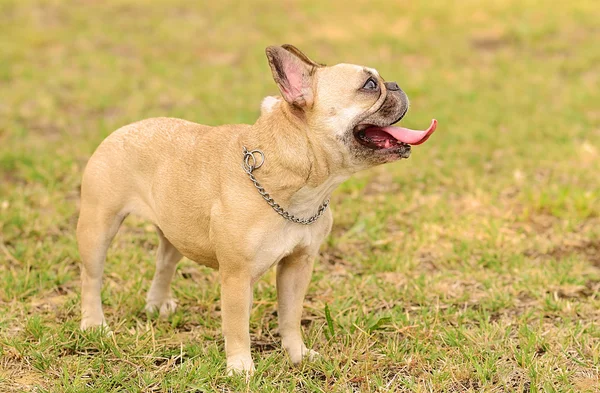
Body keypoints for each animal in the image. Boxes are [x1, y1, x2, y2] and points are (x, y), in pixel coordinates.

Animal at [77, 44, 438, 372]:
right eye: (370, 85)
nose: (395, 84)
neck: (296, 185)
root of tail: (124, 128)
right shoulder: (236, 276)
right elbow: (237, 326)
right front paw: (240, 367)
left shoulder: (298, 265)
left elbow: (291, 316)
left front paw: (297, 355)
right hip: (98, 226)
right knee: (92, 277)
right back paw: (94, 325)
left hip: (174, 230)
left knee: (164, 262)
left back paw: (158, 305)